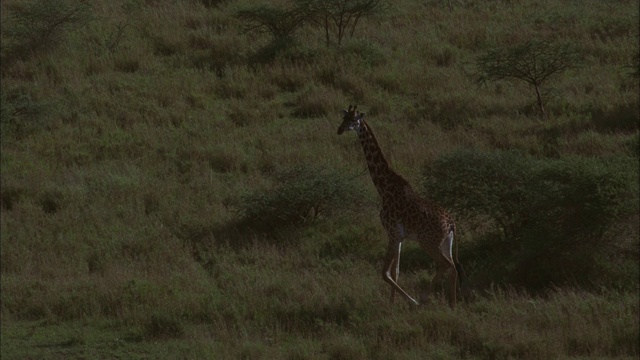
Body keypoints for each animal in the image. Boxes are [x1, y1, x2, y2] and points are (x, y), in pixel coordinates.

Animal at [338, 104, 462, 306]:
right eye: (343, 118)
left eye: (354, 120)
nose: (339, 130)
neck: (384, 187)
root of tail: (452, 223)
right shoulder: (399, 236)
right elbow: (395, 272)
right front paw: (392, 303)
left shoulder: (393, 233)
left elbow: (385, 273)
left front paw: (409, 301)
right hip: (446, 243)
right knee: (452, 268)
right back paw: (452, 305)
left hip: (428, 242)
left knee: (445, 264)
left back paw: (422, 298)